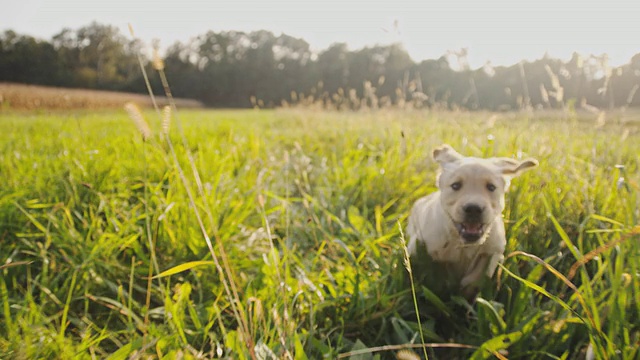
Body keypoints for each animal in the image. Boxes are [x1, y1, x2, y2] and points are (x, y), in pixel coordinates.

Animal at [408, 143, 536, 296]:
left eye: (491, 187)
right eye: (456, 185)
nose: (474, 209)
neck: (462, 244)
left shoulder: (494, 252)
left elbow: (477, 276)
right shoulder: (418, 248)